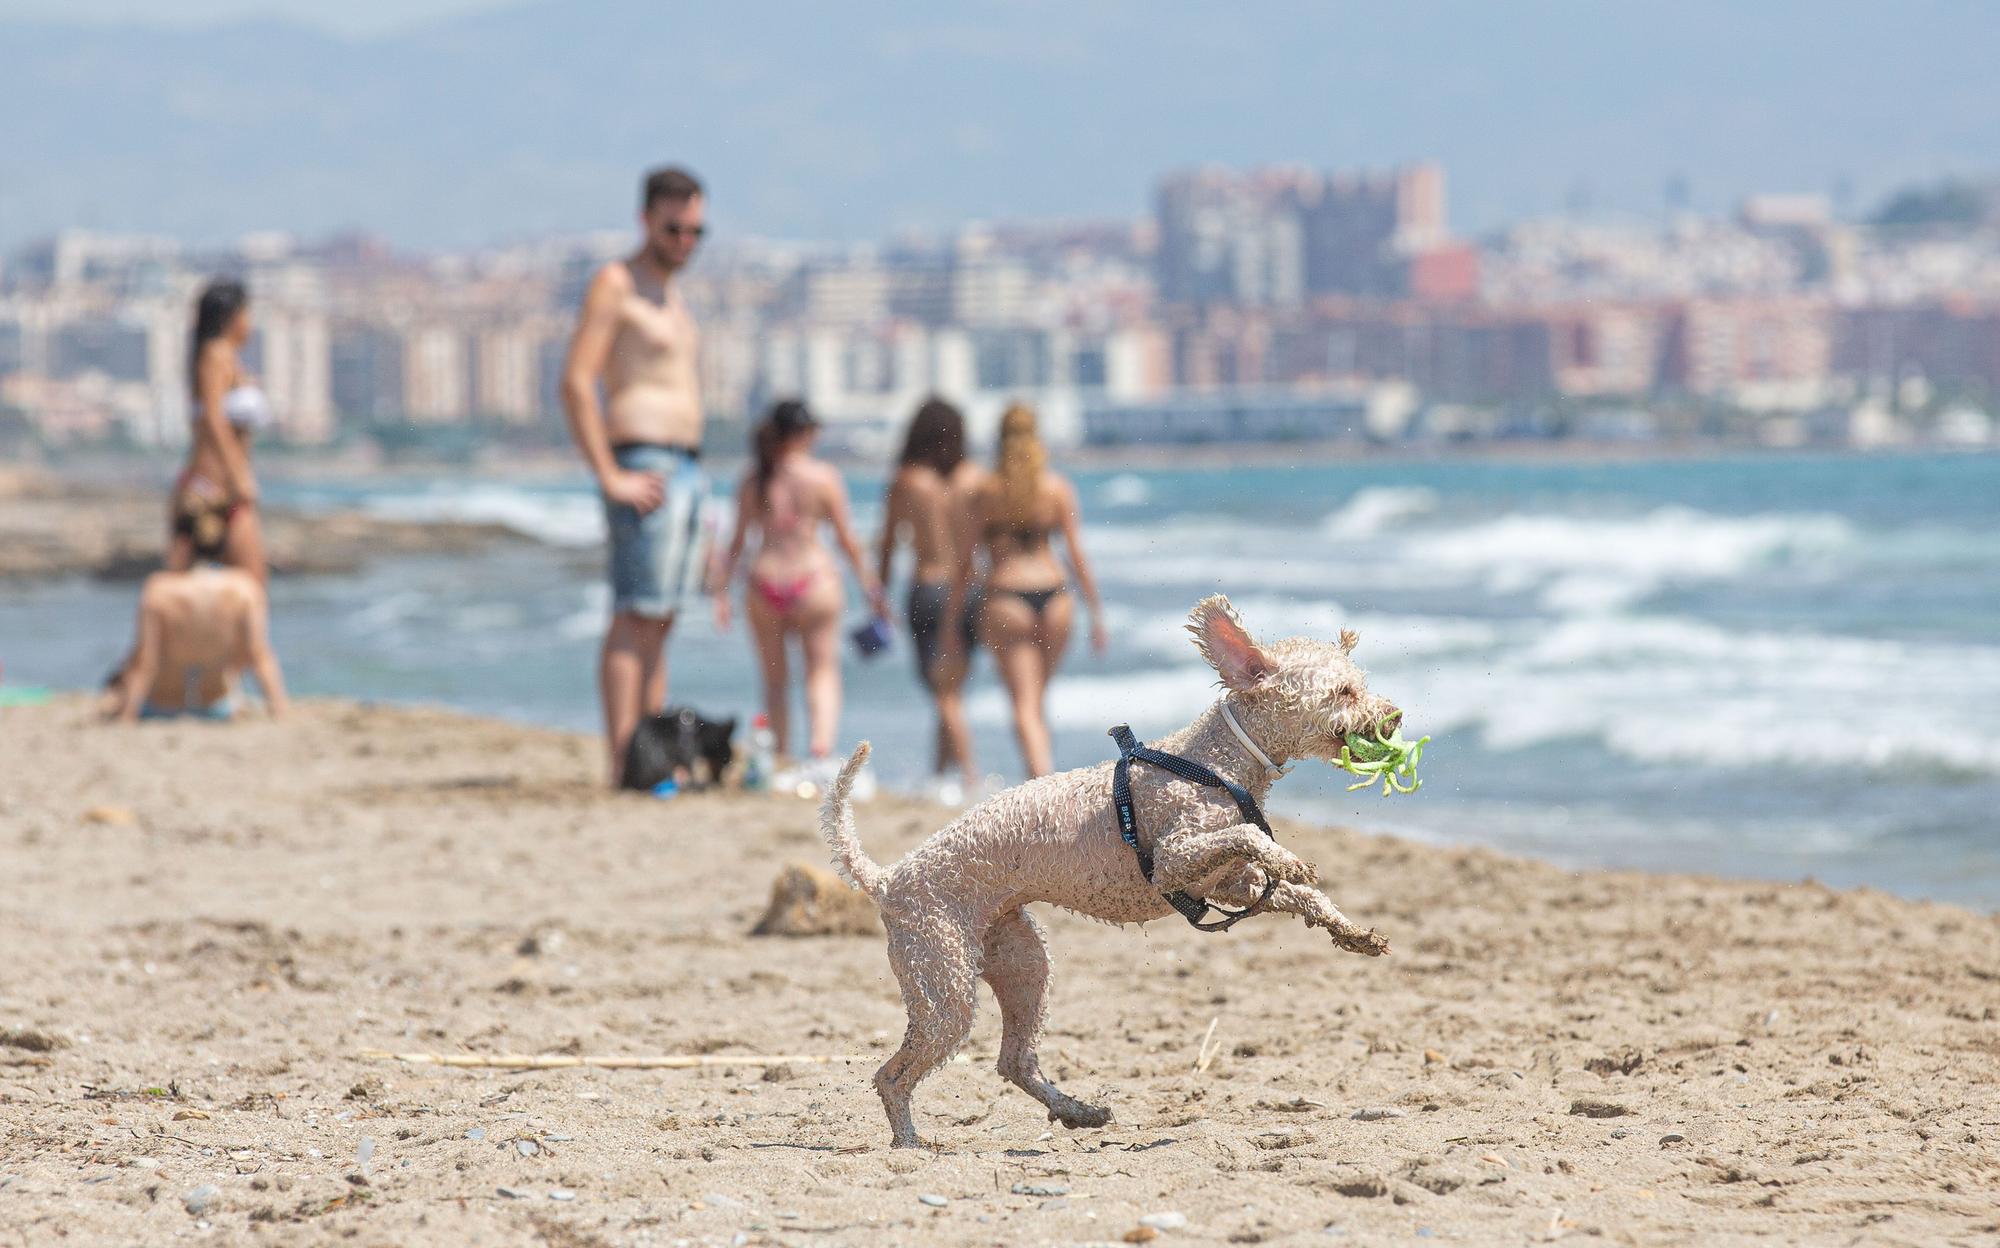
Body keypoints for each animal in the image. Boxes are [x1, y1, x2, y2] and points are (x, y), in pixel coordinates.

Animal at [820, 596, 1400, 1152]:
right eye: (1345, 691)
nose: (1394, 716)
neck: (1216, 764)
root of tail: (887, 880)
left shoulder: (1228, 884)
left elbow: (1300, 896)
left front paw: (1352, 932)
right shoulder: (1174, 858)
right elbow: (1249, 839)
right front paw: (1286, 857)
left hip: (1020, 961)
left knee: (1014, 1060)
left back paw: (1078, 1111)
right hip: (942, 979)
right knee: (894, 1075)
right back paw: (909, 1142)